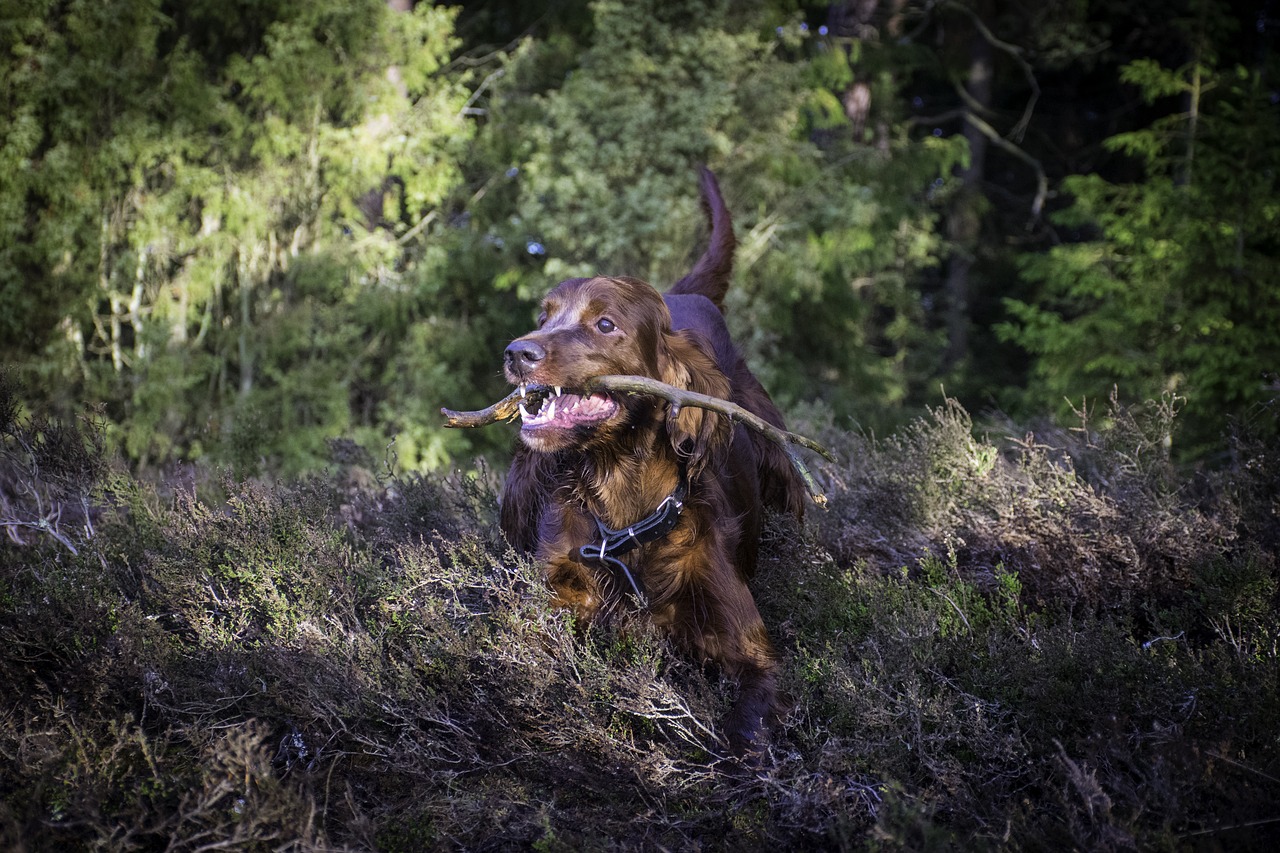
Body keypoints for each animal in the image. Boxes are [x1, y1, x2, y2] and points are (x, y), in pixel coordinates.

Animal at [496, 167, 798, 753]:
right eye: (544, 315)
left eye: (605, 324)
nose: (517, 352)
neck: (626, 515)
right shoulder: (558, 600)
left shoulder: (751, 652)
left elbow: (746, 724)